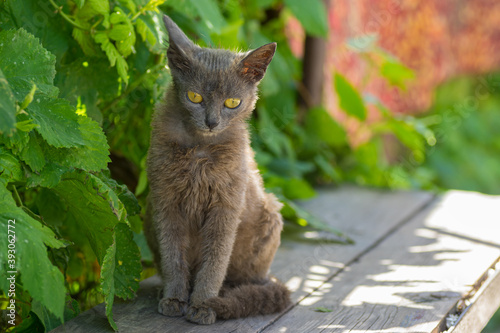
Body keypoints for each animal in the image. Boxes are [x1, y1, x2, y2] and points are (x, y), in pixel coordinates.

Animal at [145, 16, 292, 324]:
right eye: (194, 97)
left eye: (232, 103)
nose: (212, 122)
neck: (199, 149)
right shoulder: (164, 201)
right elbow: (172, 254)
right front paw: (174, 298)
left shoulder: (226, 206)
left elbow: (215, 259)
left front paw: (203, 304)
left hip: (271, 214)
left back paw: (228, 296)